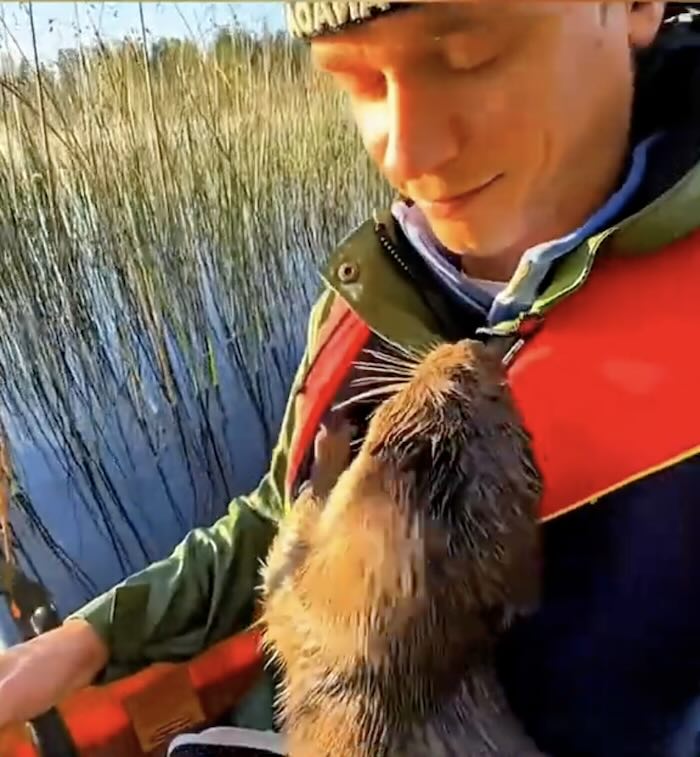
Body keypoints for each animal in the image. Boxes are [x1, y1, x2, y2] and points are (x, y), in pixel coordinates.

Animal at [260, 338, 545, 757]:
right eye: (499, 394)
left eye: (458, 375)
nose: (471, 344)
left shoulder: (306, 607)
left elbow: (285, 553)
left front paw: (330, 436)